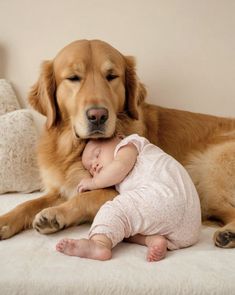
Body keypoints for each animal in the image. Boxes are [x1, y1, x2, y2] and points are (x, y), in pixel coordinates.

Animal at [0, 38, 235, 247]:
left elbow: (84, 198)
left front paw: (56, 214)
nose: (97, 116)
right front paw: (6, 220)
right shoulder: (57, 189)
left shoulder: (113, 190)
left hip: (207, 173)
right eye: (73, 78)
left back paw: (228, 234)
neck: (73, 148)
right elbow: (28, 203)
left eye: (111, 76)